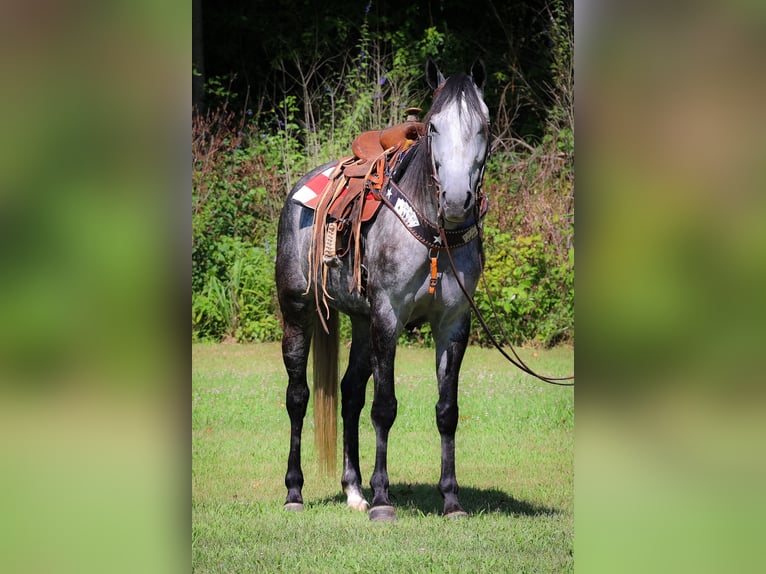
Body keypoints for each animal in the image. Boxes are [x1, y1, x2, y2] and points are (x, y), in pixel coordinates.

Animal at [278, 59, 492, 520]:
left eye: (483, 126)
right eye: (433, 126)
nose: (456, 201)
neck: (434, 235)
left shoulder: (453, 324)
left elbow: (447, 410)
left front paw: (451, 499)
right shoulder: (388, 316)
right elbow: (385, 407)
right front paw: (382, 499)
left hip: (362, 322)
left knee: (349, 394)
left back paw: (352, 490)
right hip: (298, 312)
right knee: (298, 396)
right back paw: (295, 491)